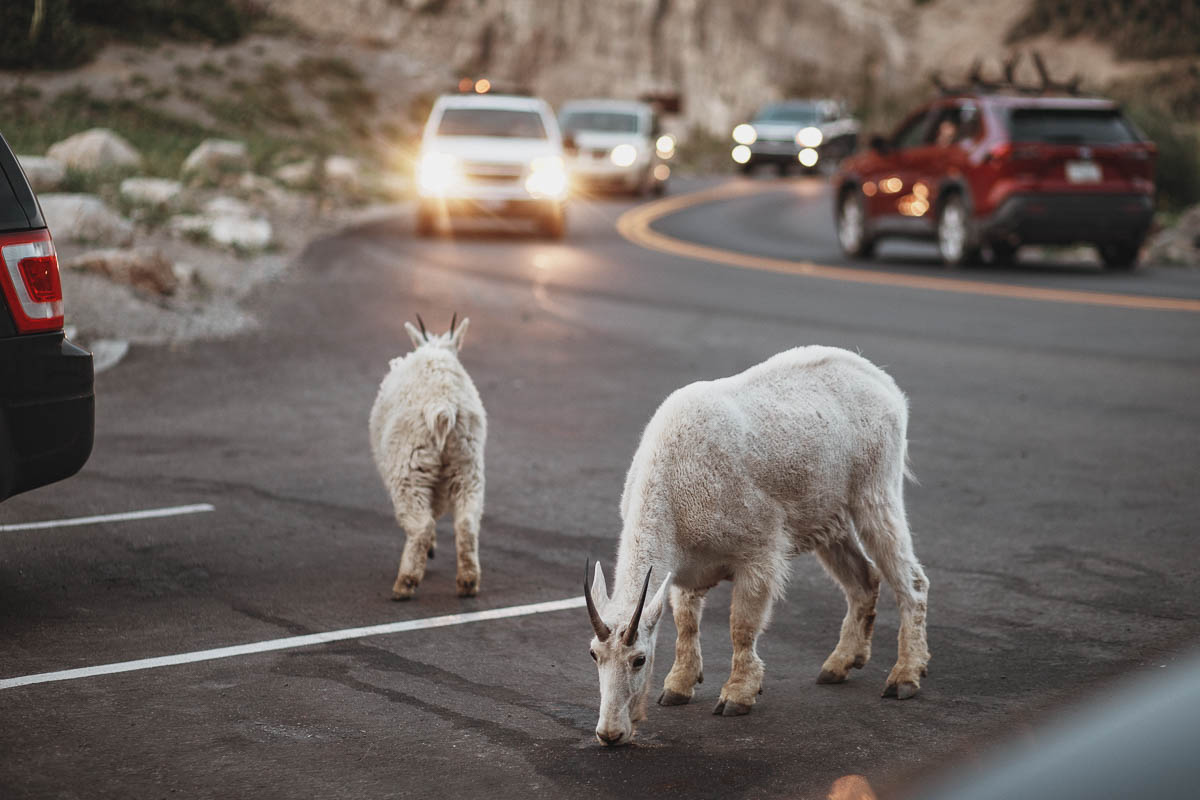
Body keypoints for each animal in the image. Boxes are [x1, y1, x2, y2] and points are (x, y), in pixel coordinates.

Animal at [367, 316, 484, 597]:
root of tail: (443, 407)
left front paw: (429, 549)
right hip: (467, 462)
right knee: (467, 519)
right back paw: (468, 581)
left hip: (410, 465)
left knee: (420, 523)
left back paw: (405, 583)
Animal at [585, 347, 931, 748]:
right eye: (594, 655)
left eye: (639, 659)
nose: (610, 734)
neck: (673, 486)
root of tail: (884, 384)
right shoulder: (686, 572)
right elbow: (686, 623)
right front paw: (678, 687)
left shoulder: (759, 551)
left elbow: (742, 626)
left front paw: (737, 695)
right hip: (831, 517)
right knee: (863, 580)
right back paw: (839, 664)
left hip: (875, 493)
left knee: (911, 581)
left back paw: (904, 676)